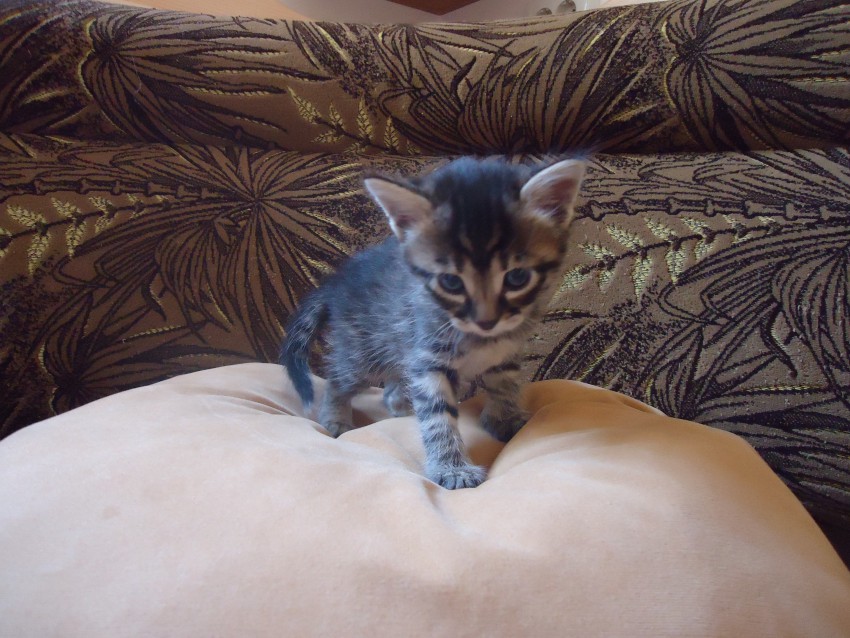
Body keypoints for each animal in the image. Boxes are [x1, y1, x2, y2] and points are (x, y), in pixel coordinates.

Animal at [281, 157, 585, 489]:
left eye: (517, 277)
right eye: (451, 282)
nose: (487, 321)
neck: (480, 338)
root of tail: (335, 283)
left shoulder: (504, 353)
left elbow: (506, 386)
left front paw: (505, 420)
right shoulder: (428, 359)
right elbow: (438, 414)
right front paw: (452, 468)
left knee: (392, 386)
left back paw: (401, 407)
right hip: (362, 353)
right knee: (338, 380)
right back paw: (336, 418)